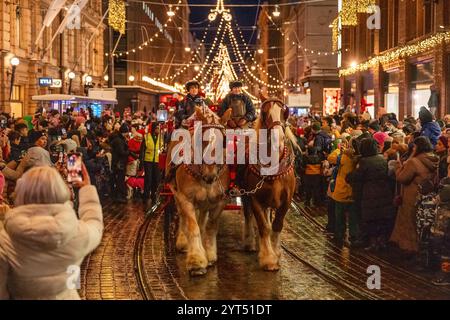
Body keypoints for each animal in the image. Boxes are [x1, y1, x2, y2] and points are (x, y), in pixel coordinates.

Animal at [169, 107, 232, 276]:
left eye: (224, 142)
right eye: (201, 140)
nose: (210, 176)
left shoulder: (220, 201)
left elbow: (210, 226)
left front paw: (209, 254)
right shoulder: (185, 198)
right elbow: (193, 226)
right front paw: (196, 260)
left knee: (202, 219)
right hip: (176, 193)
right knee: (183, 217)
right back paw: (183, 241)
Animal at [241, 99, 298, 272]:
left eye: (284, 112)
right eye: (265, 113)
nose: (277, 140)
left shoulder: (286, 201)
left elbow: (277, 225)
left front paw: (276, 253)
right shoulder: (255, 199)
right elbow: (263, 227)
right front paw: (268, 259)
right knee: (248, 215)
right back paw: (250, 242)